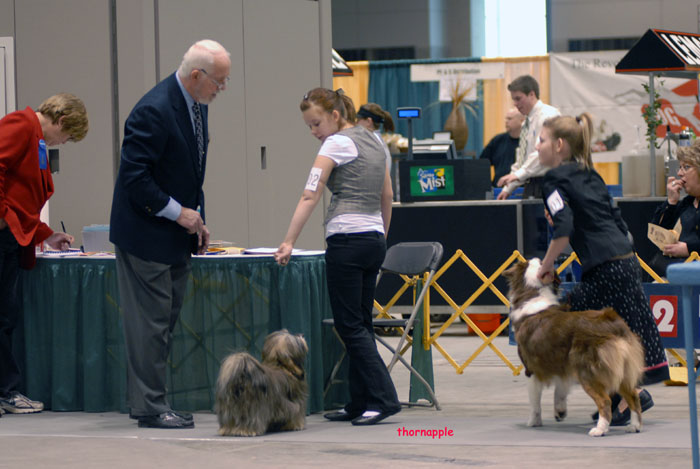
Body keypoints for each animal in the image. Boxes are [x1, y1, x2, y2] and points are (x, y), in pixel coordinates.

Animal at [503, 258, 645, 437]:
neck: (533, 293)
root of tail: (611, 321)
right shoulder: (562, 364)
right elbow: (560, 390)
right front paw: (560, 411)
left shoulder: (532, 369)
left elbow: (535, 401)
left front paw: (533, 422)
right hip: (622, 368)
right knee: (632, 395)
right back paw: (634, 426)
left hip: (587, 370)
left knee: (605, 400)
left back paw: (600, 429)